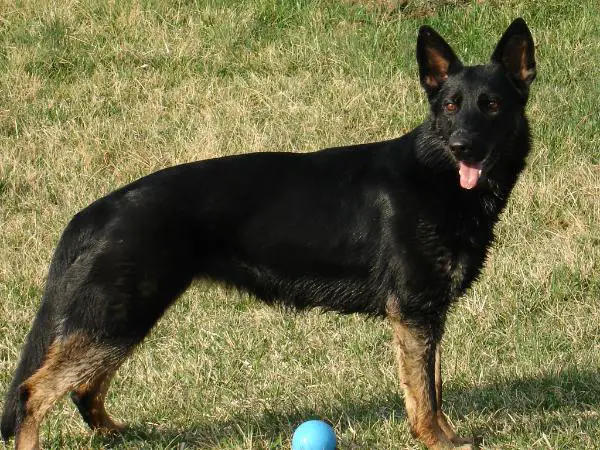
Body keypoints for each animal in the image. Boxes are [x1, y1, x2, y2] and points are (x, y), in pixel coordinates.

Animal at [0, 18, 536, 450]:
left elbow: (434, 388)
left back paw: (116, 433)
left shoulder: (428, 316)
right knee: (34, 392)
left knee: (82, 387)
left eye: (491, 105)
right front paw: (437, 441)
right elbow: (424, 395)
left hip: (121, 319)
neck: (436, 173)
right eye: (450, 106)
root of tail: (95, 211)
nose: (464, 147)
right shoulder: (414, 315)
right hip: (119, 316)